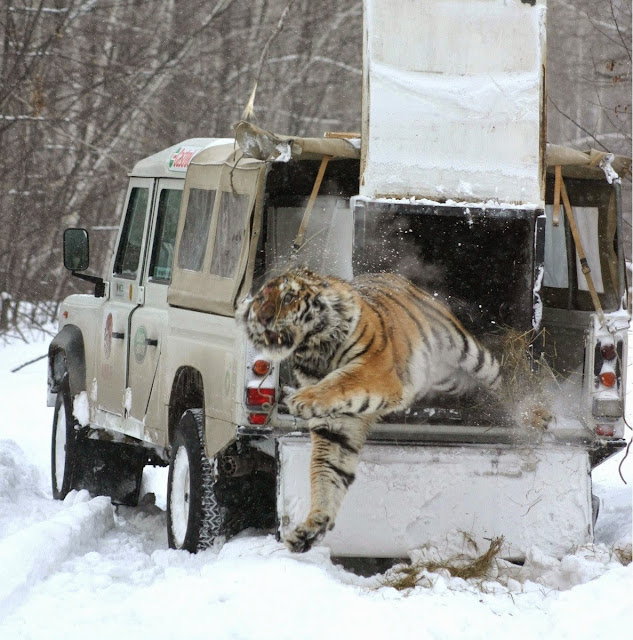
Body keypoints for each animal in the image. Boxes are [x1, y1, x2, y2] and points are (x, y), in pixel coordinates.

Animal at [235, 268, 502, 552]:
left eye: (288, 297)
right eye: (261, 299)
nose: (263, 317)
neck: (314, 351)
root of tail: (394, 276)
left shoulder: (374, 370)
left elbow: (340, 380)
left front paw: (302, 398)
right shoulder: (337, 426)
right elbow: (326, 473)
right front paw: (312, 527)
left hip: (468, 353)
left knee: (498, 374)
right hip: (446, 377)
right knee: (466, 384)